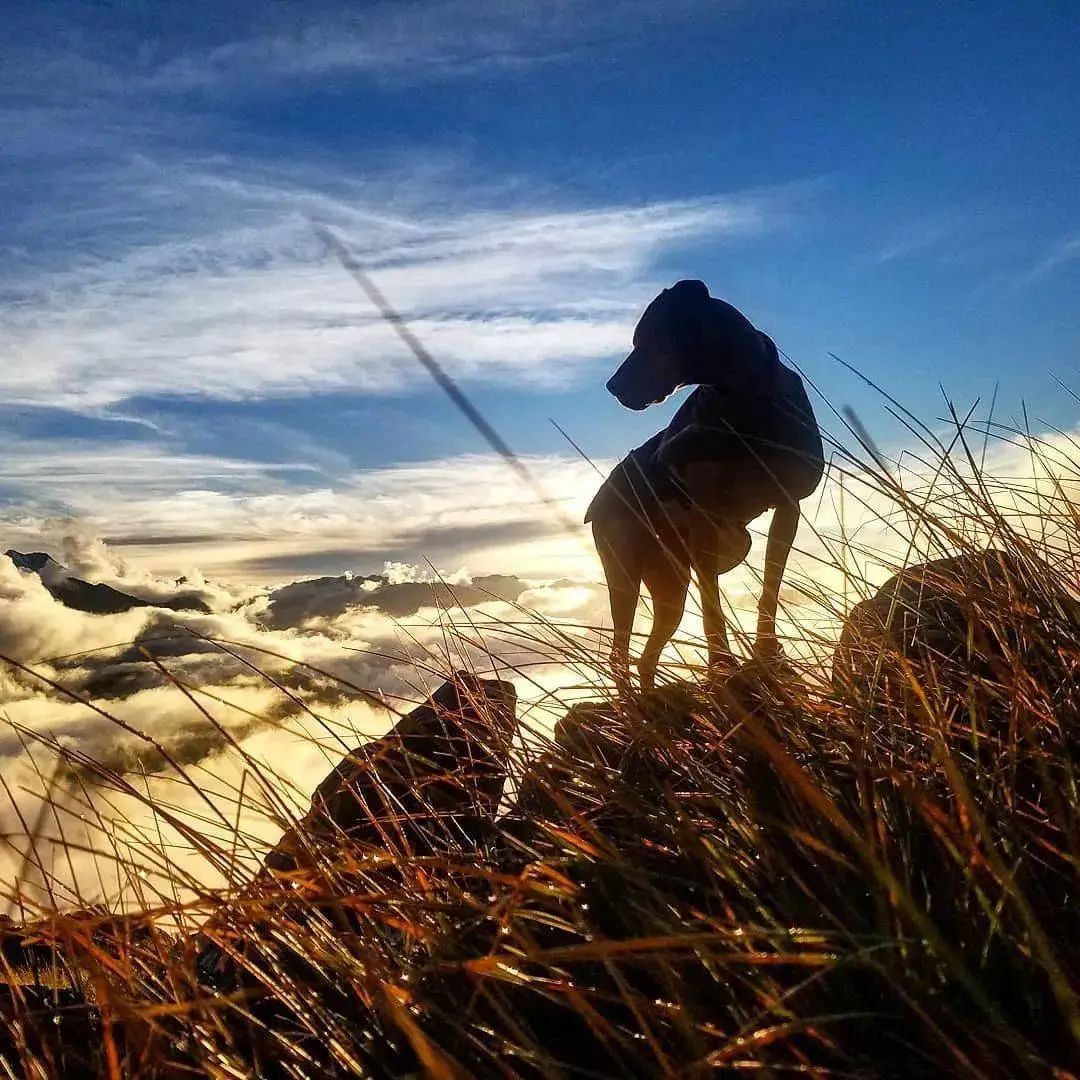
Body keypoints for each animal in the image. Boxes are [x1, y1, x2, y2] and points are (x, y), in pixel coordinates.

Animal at [587, 282, 820, 686]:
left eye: (646, 339)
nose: (612, 386)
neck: (743, 400)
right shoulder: (704, 521)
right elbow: (713, 606)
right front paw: (722, 664)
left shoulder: (788, 506)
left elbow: (770, 586)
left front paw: (765, 650)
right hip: (622, 566)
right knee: (619, 652)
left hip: (674, 578)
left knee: (647, 655)